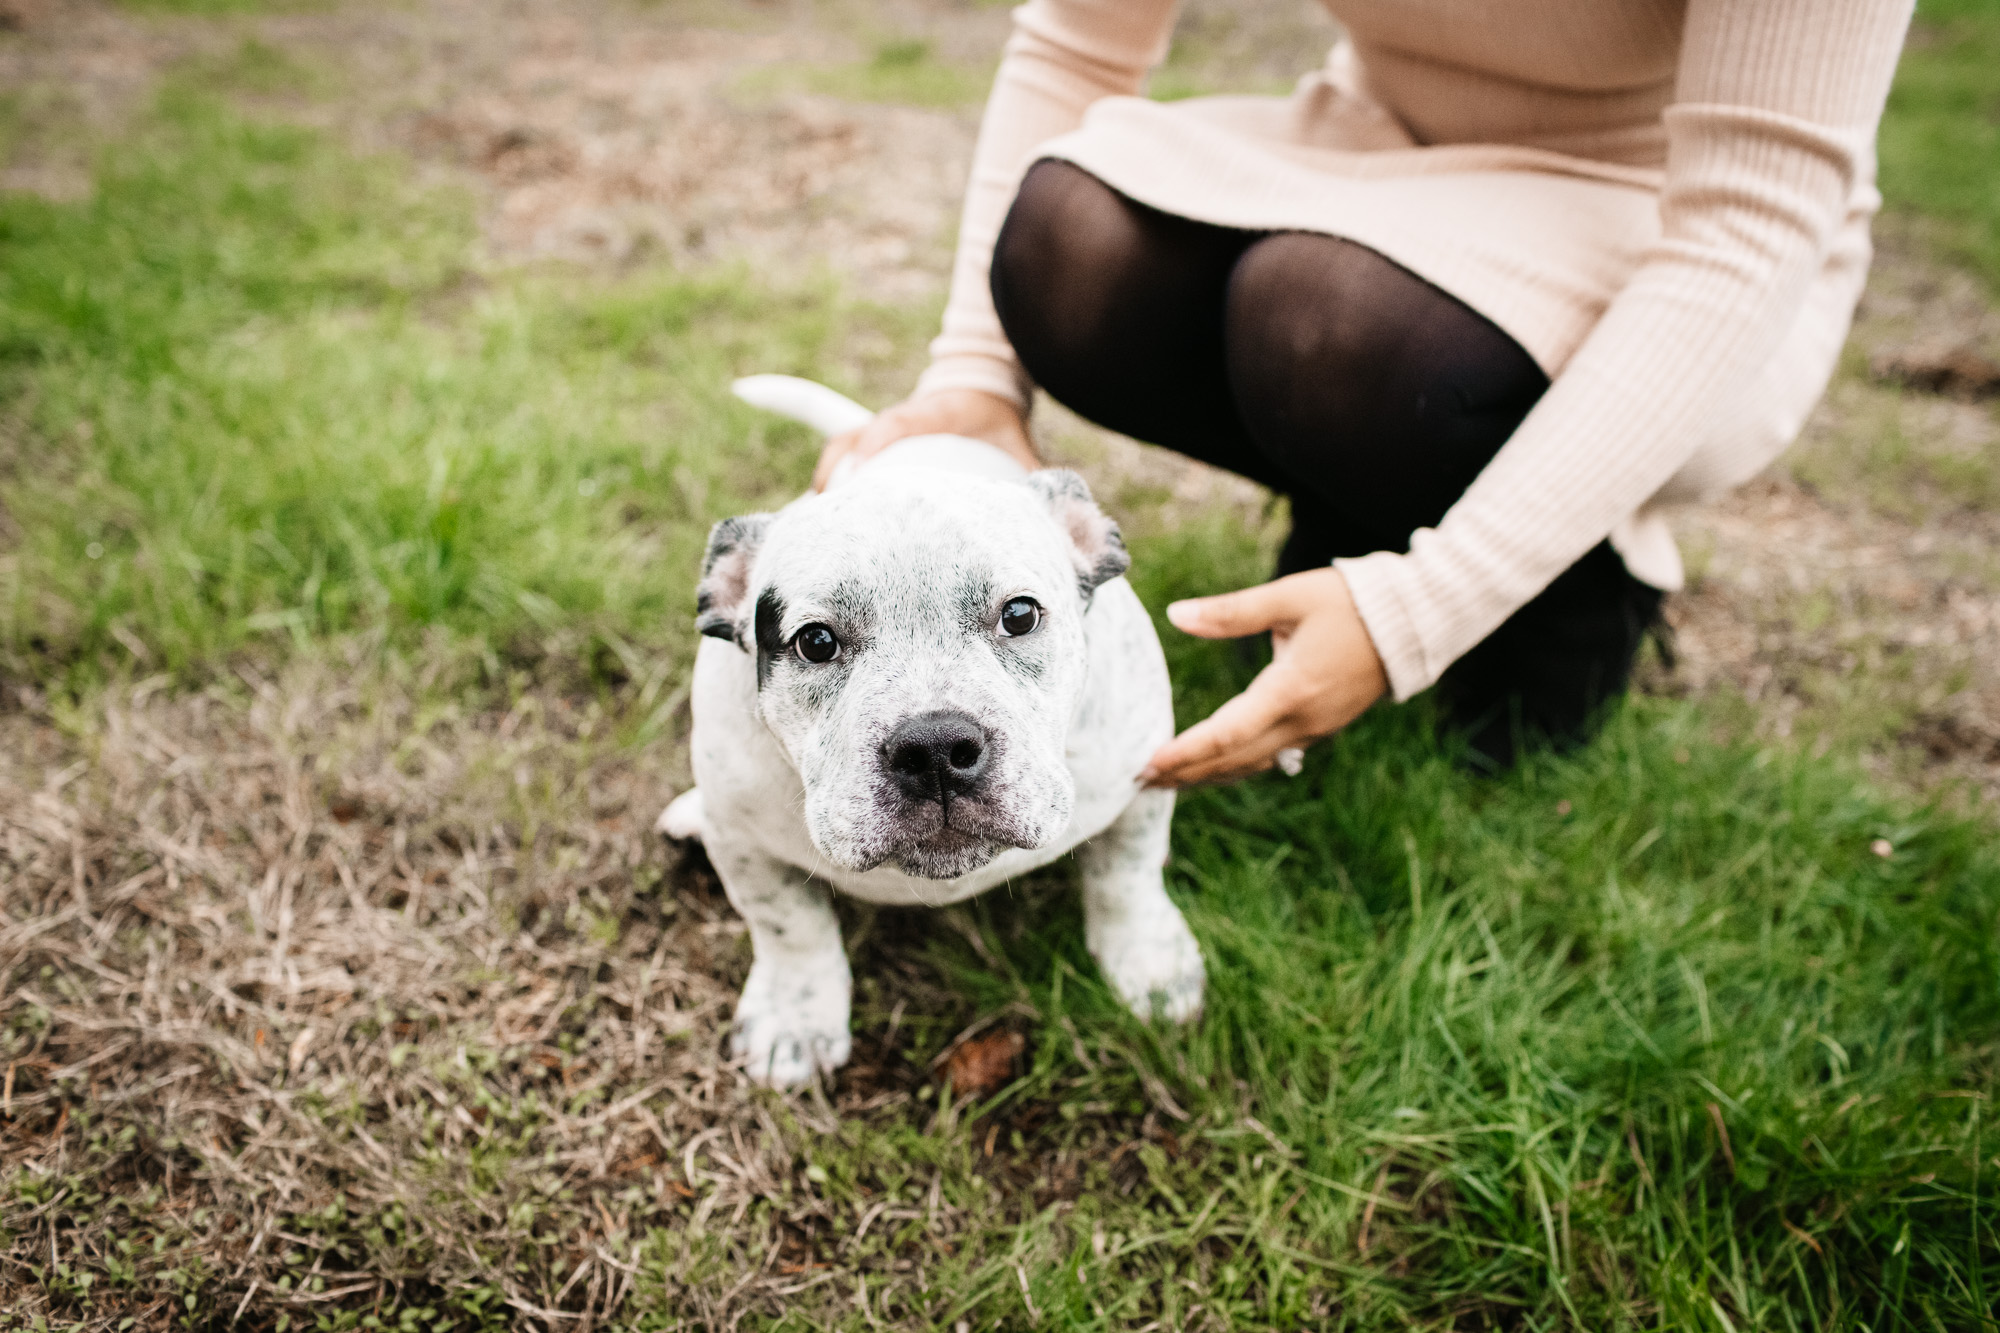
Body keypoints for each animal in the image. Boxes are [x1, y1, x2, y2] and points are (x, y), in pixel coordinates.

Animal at [664, 370, 1208, 1080]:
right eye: (815, 641)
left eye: (1020, 614)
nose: (936, 747)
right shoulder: (741, 840)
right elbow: (787, 924)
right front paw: (796, 1017)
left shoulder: (1142, 786)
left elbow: (1129, 876)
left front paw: (1150, 963)